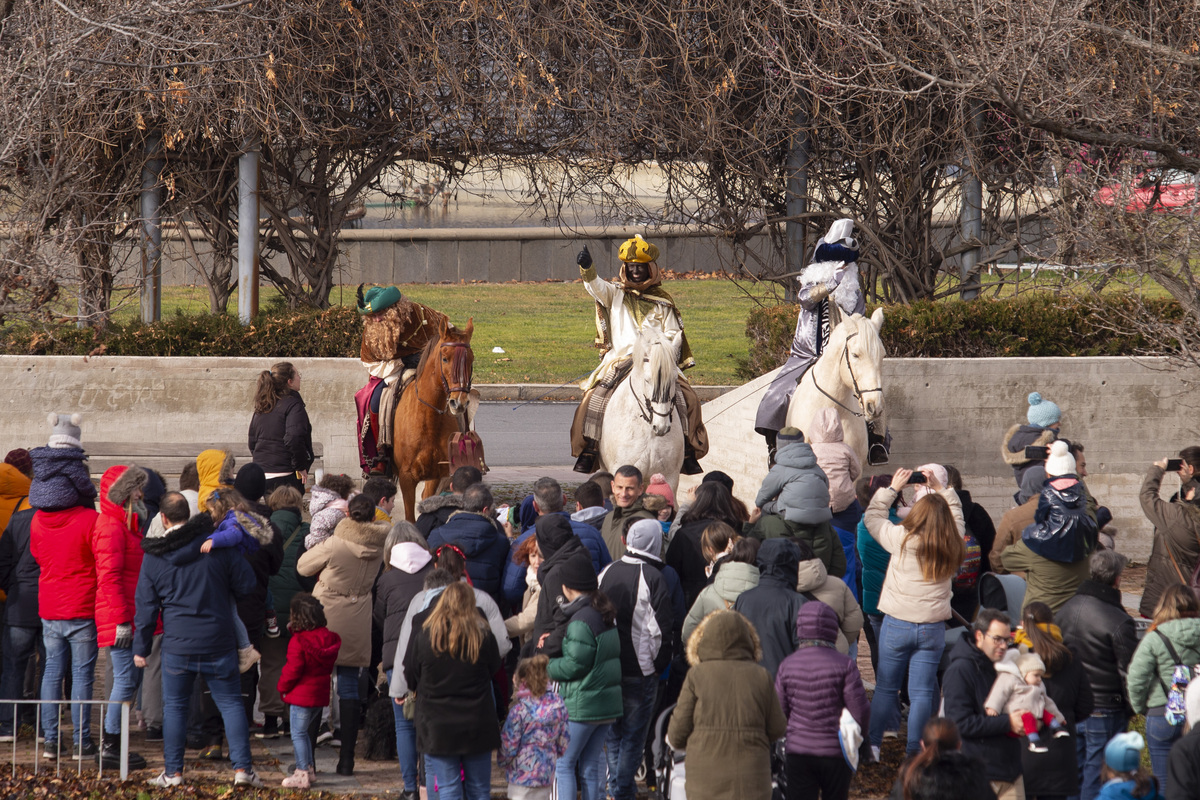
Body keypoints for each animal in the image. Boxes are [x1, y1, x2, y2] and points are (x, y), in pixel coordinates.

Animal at [388, 316, 472, 522]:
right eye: (445, 358)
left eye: (471, 359)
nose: (459, 402)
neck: (428, 420)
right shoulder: (406, 478)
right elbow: (409, 517)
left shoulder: (435, 474)